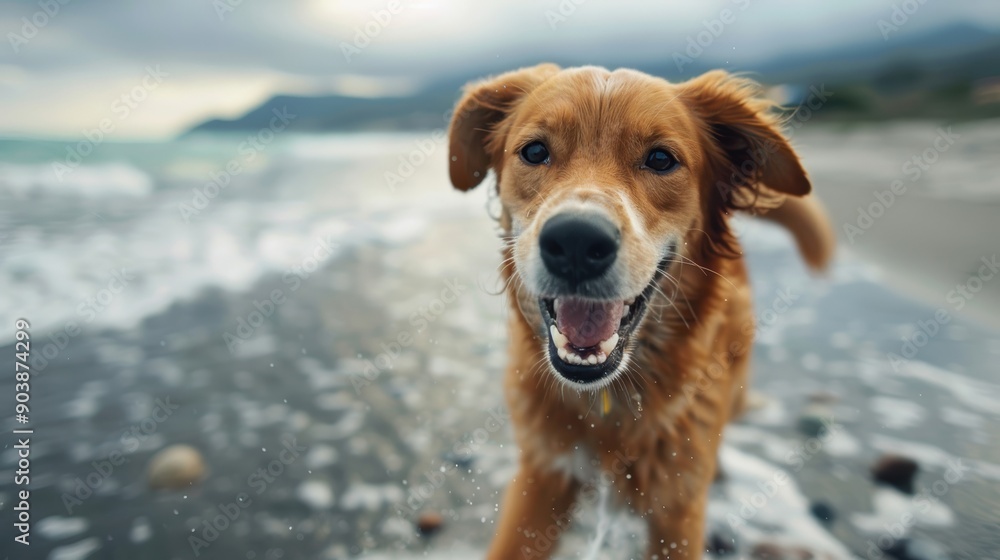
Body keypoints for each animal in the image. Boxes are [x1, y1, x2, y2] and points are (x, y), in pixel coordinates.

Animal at [450, 64, 832, 560]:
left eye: (661, 160)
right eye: (534, 151)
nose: (576, 242)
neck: (608, 401)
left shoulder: (678, 508)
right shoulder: (542, 476)